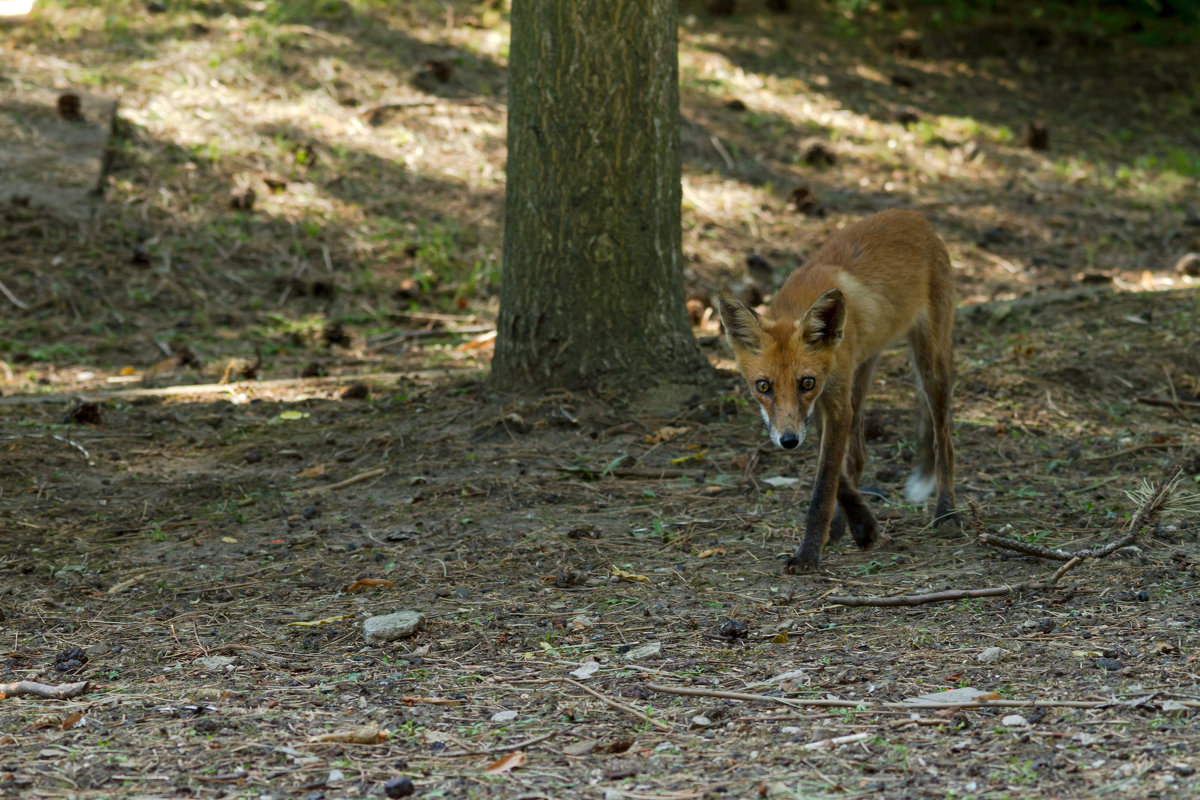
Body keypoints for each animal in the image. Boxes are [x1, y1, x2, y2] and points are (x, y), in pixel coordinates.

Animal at [715, 209, 960, 573]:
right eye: (763, 386)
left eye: (806, 382)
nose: (788, 442)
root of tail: (912, 215)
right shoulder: (819, 410)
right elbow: (836, 476)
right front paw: (860, 526)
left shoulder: (831, 403)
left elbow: (823, 485)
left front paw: (808, 554)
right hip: (861, 374)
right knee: (858, 455)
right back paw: (846, 524)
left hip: (932, 365)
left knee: (942, 441)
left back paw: (947, 514)